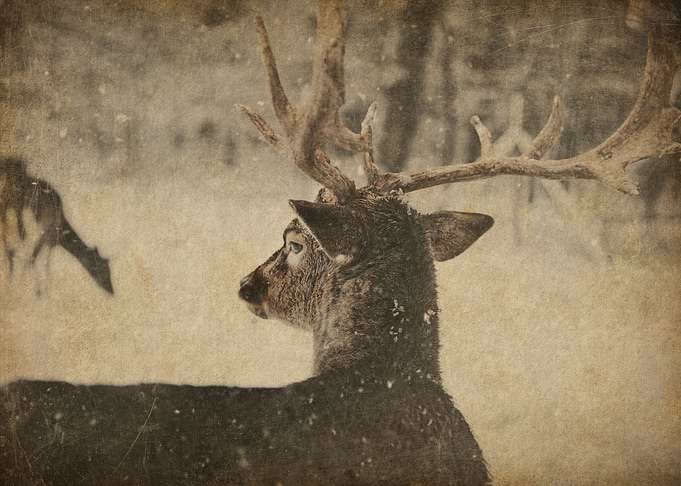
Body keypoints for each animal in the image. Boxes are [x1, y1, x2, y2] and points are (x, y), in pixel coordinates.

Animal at [0, 157, 114, 295]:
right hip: (10, 205)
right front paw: (35, 290)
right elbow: (34, 261)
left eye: (109, 271)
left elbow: (39, 263)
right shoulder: (45, 237)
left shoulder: (49, 243)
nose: (111, 291)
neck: (61, 235)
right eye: (103, 270)